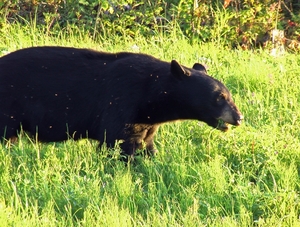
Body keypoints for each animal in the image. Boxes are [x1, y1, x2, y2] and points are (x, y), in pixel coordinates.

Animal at [0, 46, 243, 156]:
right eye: (219, 97)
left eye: (229, 95)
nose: (239, 117)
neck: (151, 95)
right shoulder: (122, 101)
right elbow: (119, 140)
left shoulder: (146, 120)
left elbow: (146, 142)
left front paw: (152, 159)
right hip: (9, 105)